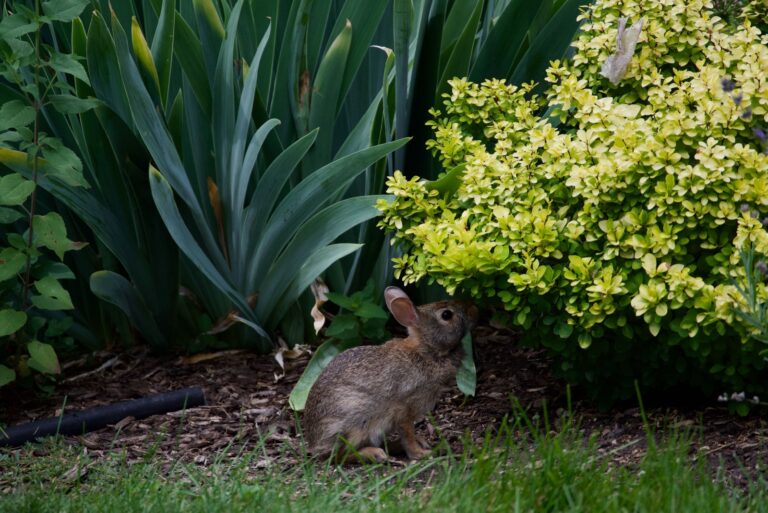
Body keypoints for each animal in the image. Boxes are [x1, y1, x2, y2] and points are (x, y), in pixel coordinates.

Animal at [302, 286, 479, 463]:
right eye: (447, 315)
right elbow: (407, 433)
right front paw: (420, 454)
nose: (473, 308)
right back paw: (374, 454)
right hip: (355, 423)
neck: (426, 351)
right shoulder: (404, 407)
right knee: (339, 456)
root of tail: (314, 444)